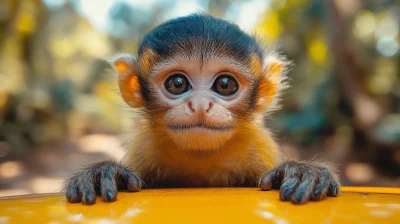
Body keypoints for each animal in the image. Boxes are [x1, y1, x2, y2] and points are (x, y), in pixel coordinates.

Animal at [65, 14, 340, 205]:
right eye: (177, 83)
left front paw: (300, 172)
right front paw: (105, 173)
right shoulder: (145, 148)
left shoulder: (258, 145)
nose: (199, 104)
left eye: (225, 84)